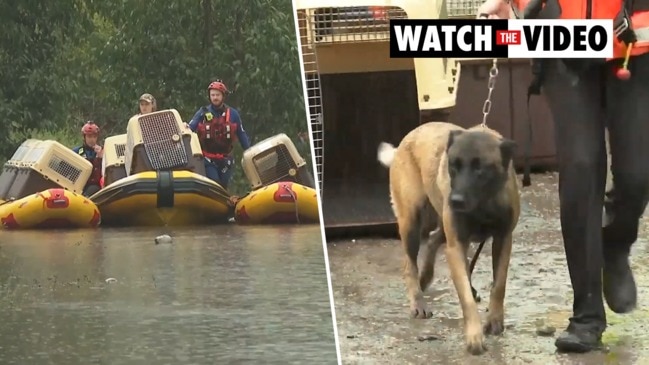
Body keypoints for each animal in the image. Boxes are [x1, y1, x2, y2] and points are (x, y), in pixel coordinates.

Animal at [378, 121, 520, 352]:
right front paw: (474, 336)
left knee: (433, 239)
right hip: (412, 222)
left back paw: (426, 277)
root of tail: (406, 140)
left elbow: (499, 284)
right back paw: (418, 301)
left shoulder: (503, 239)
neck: (484, 204)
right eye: (453, 165)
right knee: (409, 265)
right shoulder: (456, 246)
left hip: (442, 227)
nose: (456, 200)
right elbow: (466, 297)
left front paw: (494, 320)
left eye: (479, 168)